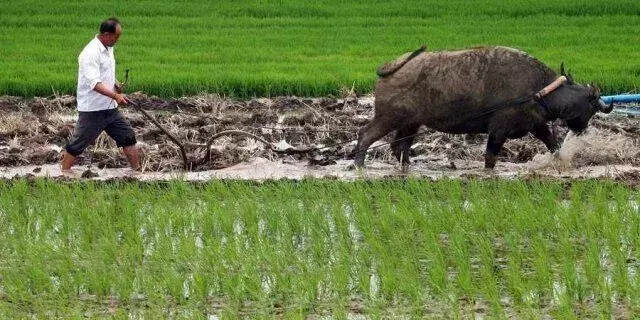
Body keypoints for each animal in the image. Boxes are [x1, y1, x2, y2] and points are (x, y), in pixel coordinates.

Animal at [352, 46, 612, 170]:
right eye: (592, 107)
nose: (581, 129)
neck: (537, 90)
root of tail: (391, 67)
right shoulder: (498, 130)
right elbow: (490, 158)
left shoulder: (536, 125)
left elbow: (554, 146)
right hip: (388, 117)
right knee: (365, 136)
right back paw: (359, 165)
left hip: (411, 123)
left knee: (400, 147)